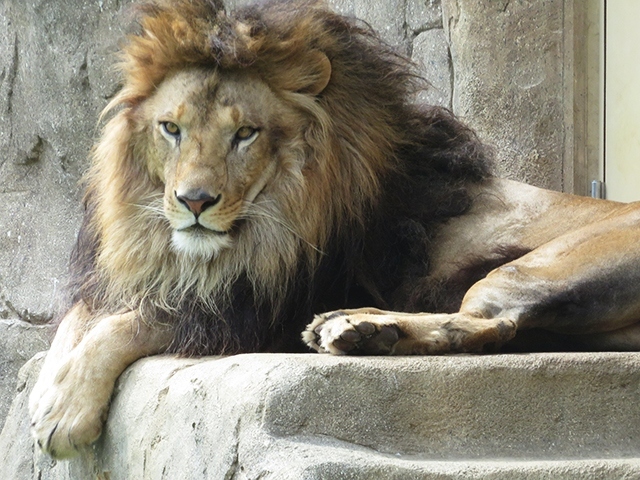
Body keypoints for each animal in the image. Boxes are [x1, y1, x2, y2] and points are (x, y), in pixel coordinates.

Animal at [28, 0, 640, 460]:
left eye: (246, 134)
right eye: (170, 128)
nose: (194, 202)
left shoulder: (255, 312)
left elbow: (133, 323)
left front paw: (63, 412)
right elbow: (80, 317)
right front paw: (48, 388)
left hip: (530, 269)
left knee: (491, 322)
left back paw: (353, 328)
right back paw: (359, 328)